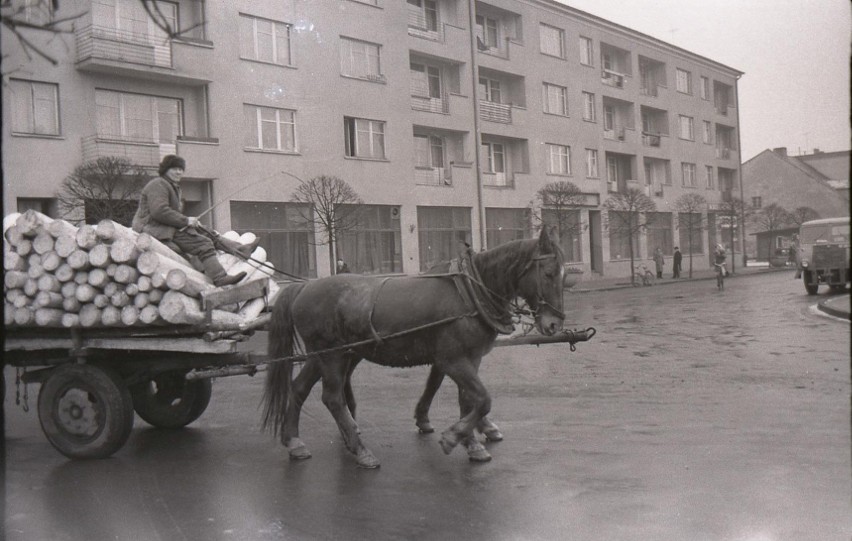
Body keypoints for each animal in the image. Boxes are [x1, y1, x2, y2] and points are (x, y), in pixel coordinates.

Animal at [260, 228, 564, 468]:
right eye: (548, 273)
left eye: (564, 275)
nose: (554, 324)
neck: (468, 292)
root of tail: (303, 288)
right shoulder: (453, 360)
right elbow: (483, 398)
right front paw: (452, 437)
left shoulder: (471, 358)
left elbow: (468, 401)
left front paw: (471, 443)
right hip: (331, 355)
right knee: (333, 398)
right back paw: (360, 449)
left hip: (322, 355)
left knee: (299, 388)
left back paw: (295, 442)